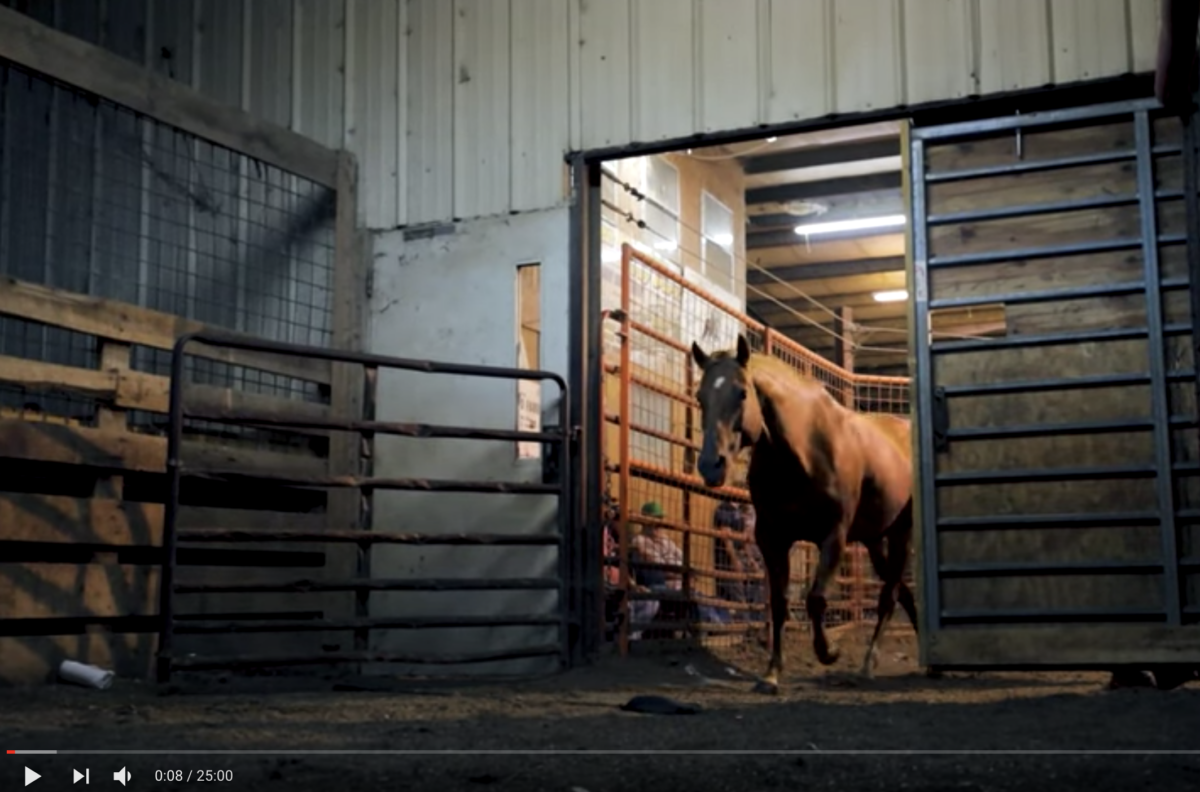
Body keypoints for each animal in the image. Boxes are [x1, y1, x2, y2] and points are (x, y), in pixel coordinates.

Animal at [690, 334, 918, 694]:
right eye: (700, 397)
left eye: (742, 393)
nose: (711, 466)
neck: (801, 451)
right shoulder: (771, 538)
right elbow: (779, 604)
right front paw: (772, 673)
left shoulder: (834, 535)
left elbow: (815, 599)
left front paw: (829, 652)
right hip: (874, 541)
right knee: (902, 594)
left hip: (900, 534)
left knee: (888, 597)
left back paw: (868, 665)